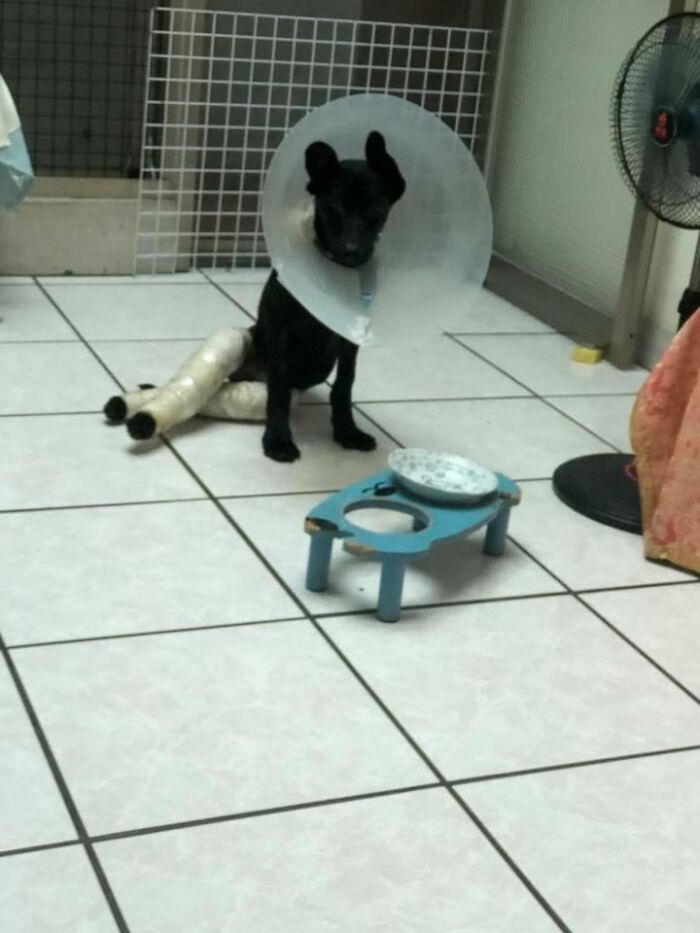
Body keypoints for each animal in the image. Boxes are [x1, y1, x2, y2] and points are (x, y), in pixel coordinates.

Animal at [245, 131, 404, 462]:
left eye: (376, 210)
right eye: (334, 207)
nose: (351, 251)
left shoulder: (349, 339)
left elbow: (344, 385)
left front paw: (347, 431)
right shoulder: (279, 330)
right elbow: (278, 389)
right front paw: (278, 439)